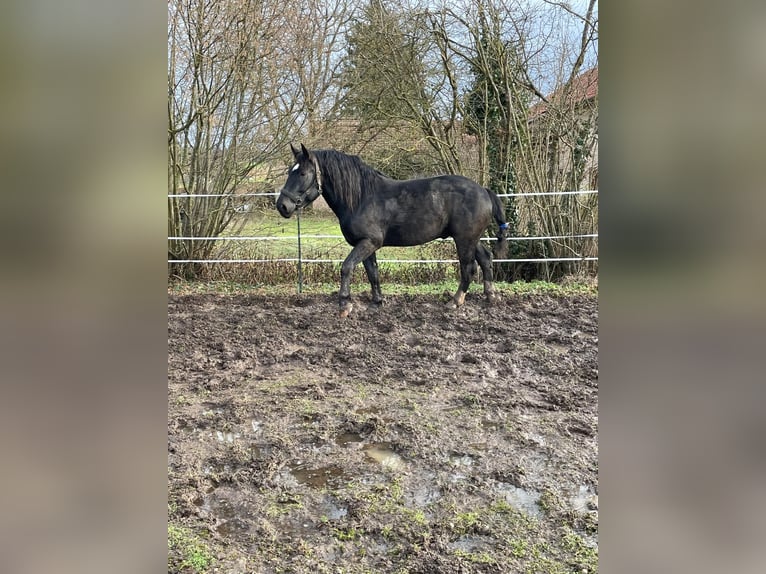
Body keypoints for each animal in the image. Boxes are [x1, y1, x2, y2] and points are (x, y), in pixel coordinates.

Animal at [276, 143, 510, 316]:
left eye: (303, 173)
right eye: (290, 171)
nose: (282, 206)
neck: (361, 197)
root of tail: (484, 190)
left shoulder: (369, 242)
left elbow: (347, 267)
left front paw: (345, 304)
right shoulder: (366, 245)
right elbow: (373, 273)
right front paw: (376, 302)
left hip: (464, 240)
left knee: (468, 268)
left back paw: (455, 301)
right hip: (472, 238)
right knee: (486, 259)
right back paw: (491, 296)